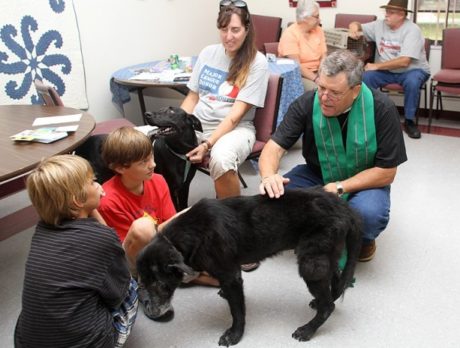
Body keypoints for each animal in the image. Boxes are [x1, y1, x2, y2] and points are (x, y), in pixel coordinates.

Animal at [137, 188, 362, 346]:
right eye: (141, 284)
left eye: (159, 285)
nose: (151, 311)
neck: (186, 238)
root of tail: (343, 207)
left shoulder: (231, 277)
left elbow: (237, 311)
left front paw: (234, 335)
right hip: (323, 259)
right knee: (336, 280)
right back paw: (320, 301)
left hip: (310, 264)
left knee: (329, 306)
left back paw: (308, 329)